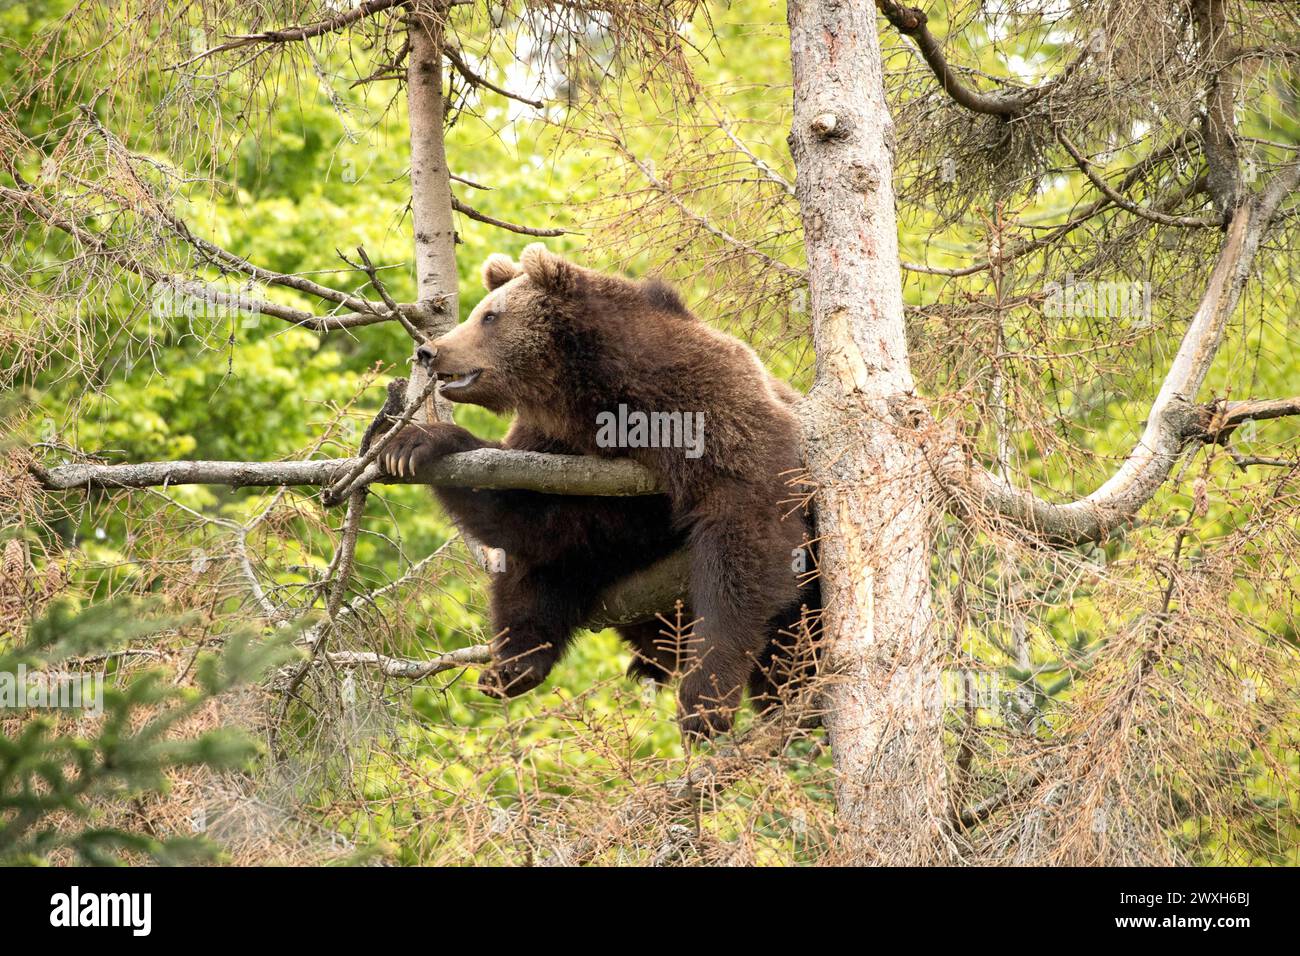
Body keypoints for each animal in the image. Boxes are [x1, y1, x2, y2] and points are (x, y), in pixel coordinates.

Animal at [375, 244, 818, 737]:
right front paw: (408, 442)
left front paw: (705, 698)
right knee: (534, 567)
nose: (429, 351)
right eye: (477, 312)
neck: (599, 397)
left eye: (490, 316)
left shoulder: (701, 406)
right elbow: (537, 516)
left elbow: (747, 524)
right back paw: (515, 664)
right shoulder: (563, 450)